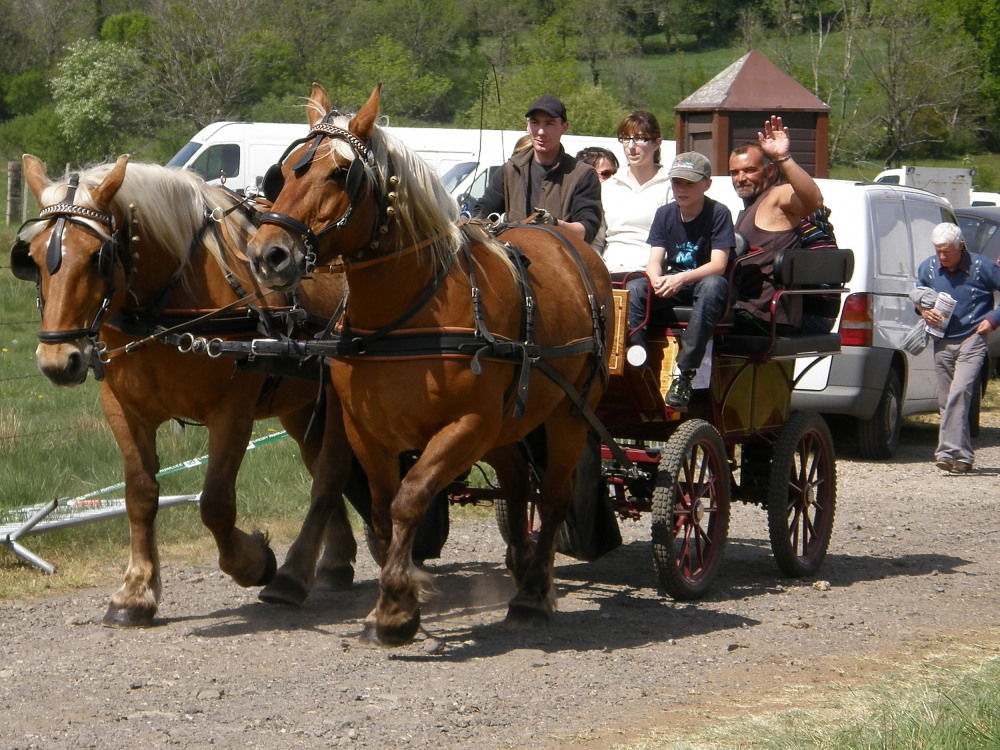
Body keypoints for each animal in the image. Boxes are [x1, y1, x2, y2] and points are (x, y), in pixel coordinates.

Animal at [9, 154, 360, 628]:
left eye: (98, 256)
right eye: (30, 257)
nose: (58, 361)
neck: (165, 311)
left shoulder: (232, 412)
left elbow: (214, 502)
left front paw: (253, 562)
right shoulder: (123, 409)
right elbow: (140, 495)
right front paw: (135, 593)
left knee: (329, 474)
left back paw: (292, 575)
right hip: (300, 407)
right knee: (318, 464)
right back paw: (334, 562)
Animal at [246, 82, 612, 648]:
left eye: (340, 173)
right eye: (283, 173)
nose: (269, 254)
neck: (408, 311)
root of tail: (569, 242)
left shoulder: (467, 425)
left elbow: (410, 499)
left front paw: (398, 609)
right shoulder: (367, 429)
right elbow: (381, 506)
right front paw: (391, 601)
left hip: (570, 413)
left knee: (552, 495)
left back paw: (533, 593)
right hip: (509, 423)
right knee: (514, 479)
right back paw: (519, 565)